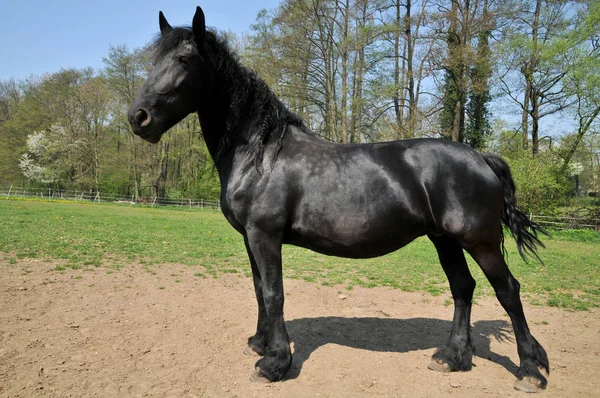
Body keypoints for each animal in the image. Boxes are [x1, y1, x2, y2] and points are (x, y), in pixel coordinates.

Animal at [129, 6, 552, 392]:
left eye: (184, 60)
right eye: (155, 60)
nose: (139, 118)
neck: (260, 153)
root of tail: (481, 156)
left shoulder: (264, 236)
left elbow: (274, 293)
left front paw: (274, 363)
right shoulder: (250, 238)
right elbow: (259, 291)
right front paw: (260, 345)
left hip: (480, 242)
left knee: (508, 291)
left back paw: (530, 371)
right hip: (444, 240)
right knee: (463, 288)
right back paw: (452, 358)